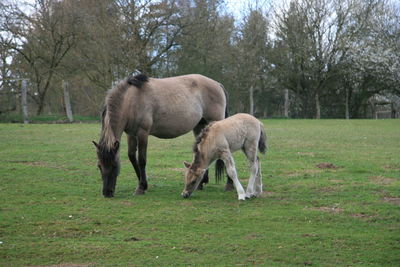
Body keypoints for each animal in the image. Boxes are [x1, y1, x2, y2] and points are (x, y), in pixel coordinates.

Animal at [92, 74, 233, 198]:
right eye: (99, 166)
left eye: (114, 165)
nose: (107, 193)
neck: (131, 100)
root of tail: (217, 84)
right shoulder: (131, 134)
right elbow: (132, 157)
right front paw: (143, 183)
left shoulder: (142, 133)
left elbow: (142, 160)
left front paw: (141, 187)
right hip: (200, 126)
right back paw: (201, 183)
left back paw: (229, 185)